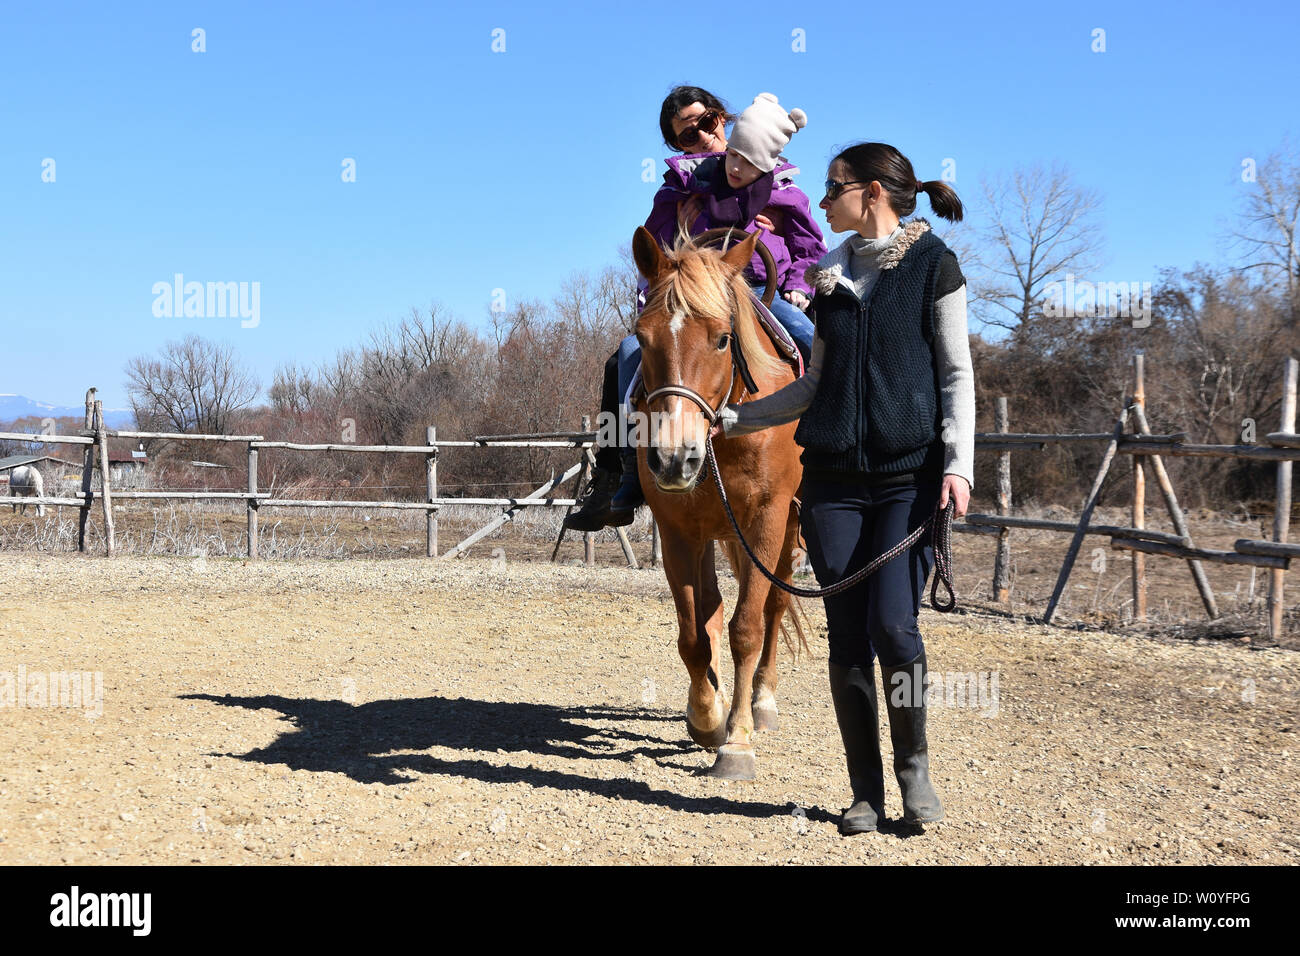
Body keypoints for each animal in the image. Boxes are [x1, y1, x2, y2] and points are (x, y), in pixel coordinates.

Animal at [634, 227, 806, 780]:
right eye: (641, 338)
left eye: (722, 338)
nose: (673, 458)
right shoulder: (678, 530)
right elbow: (694, 632)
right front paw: (707, 717)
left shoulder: (768, 519)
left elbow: (747, 628)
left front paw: (738, 741)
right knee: (709, 613)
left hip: (789, 529)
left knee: (774, 606)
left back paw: (761, 701)